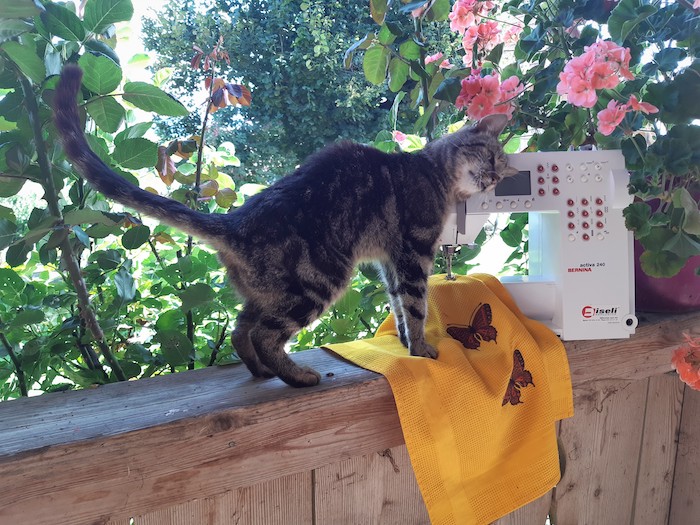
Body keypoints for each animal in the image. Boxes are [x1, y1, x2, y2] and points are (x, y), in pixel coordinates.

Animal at [53, 64, 518, 387]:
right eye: (491, 157)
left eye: (499, 171)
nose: (493, 178)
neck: (434, 173)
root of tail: (235, 220)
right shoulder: (414, 251)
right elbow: (417, 306)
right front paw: (421, 348)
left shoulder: (392, 261)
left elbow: (399, 307)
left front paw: (407, 342)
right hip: (320, 279)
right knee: (262, 334)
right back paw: (296, 377)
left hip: (271, 290)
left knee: (241, 331)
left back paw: (264, 373)